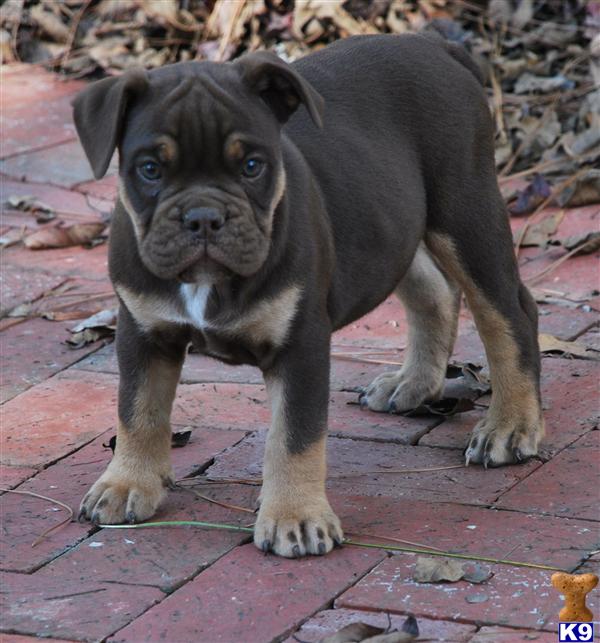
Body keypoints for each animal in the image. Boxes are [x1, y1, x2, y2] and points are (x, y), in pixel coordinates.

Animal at [71, 35, 544, 560]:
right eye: (151, 169)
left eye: (252, 166)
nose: (203, 216)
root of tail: (432, 43)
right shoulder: (143, 333)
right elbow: (138, 411)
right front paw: (126, 483)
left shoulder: (301, 345)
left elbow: (293, 436)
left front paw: (294, 517)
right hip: (392, 229)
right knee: (432, 291)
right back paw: (414, 383)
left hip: (465, 215)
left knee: (509, 315)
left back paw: (510, 426)